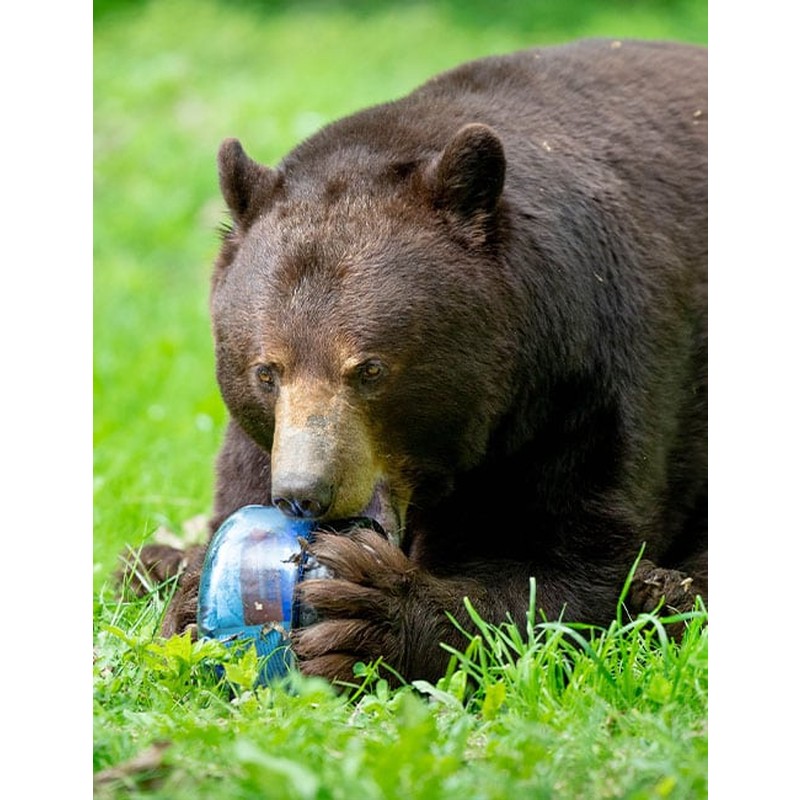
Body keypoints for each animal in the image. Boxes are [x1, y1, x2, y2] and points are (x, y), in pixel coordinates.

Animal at [131, 38, 707, 685]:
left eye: (370, 369)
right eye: (266, 372)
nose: (305, 493)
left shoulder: (585, 384)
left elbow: (565, 566)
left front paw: (366, 615)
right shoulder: (261, 437)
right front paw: (185, 591)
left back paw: (670, 592)